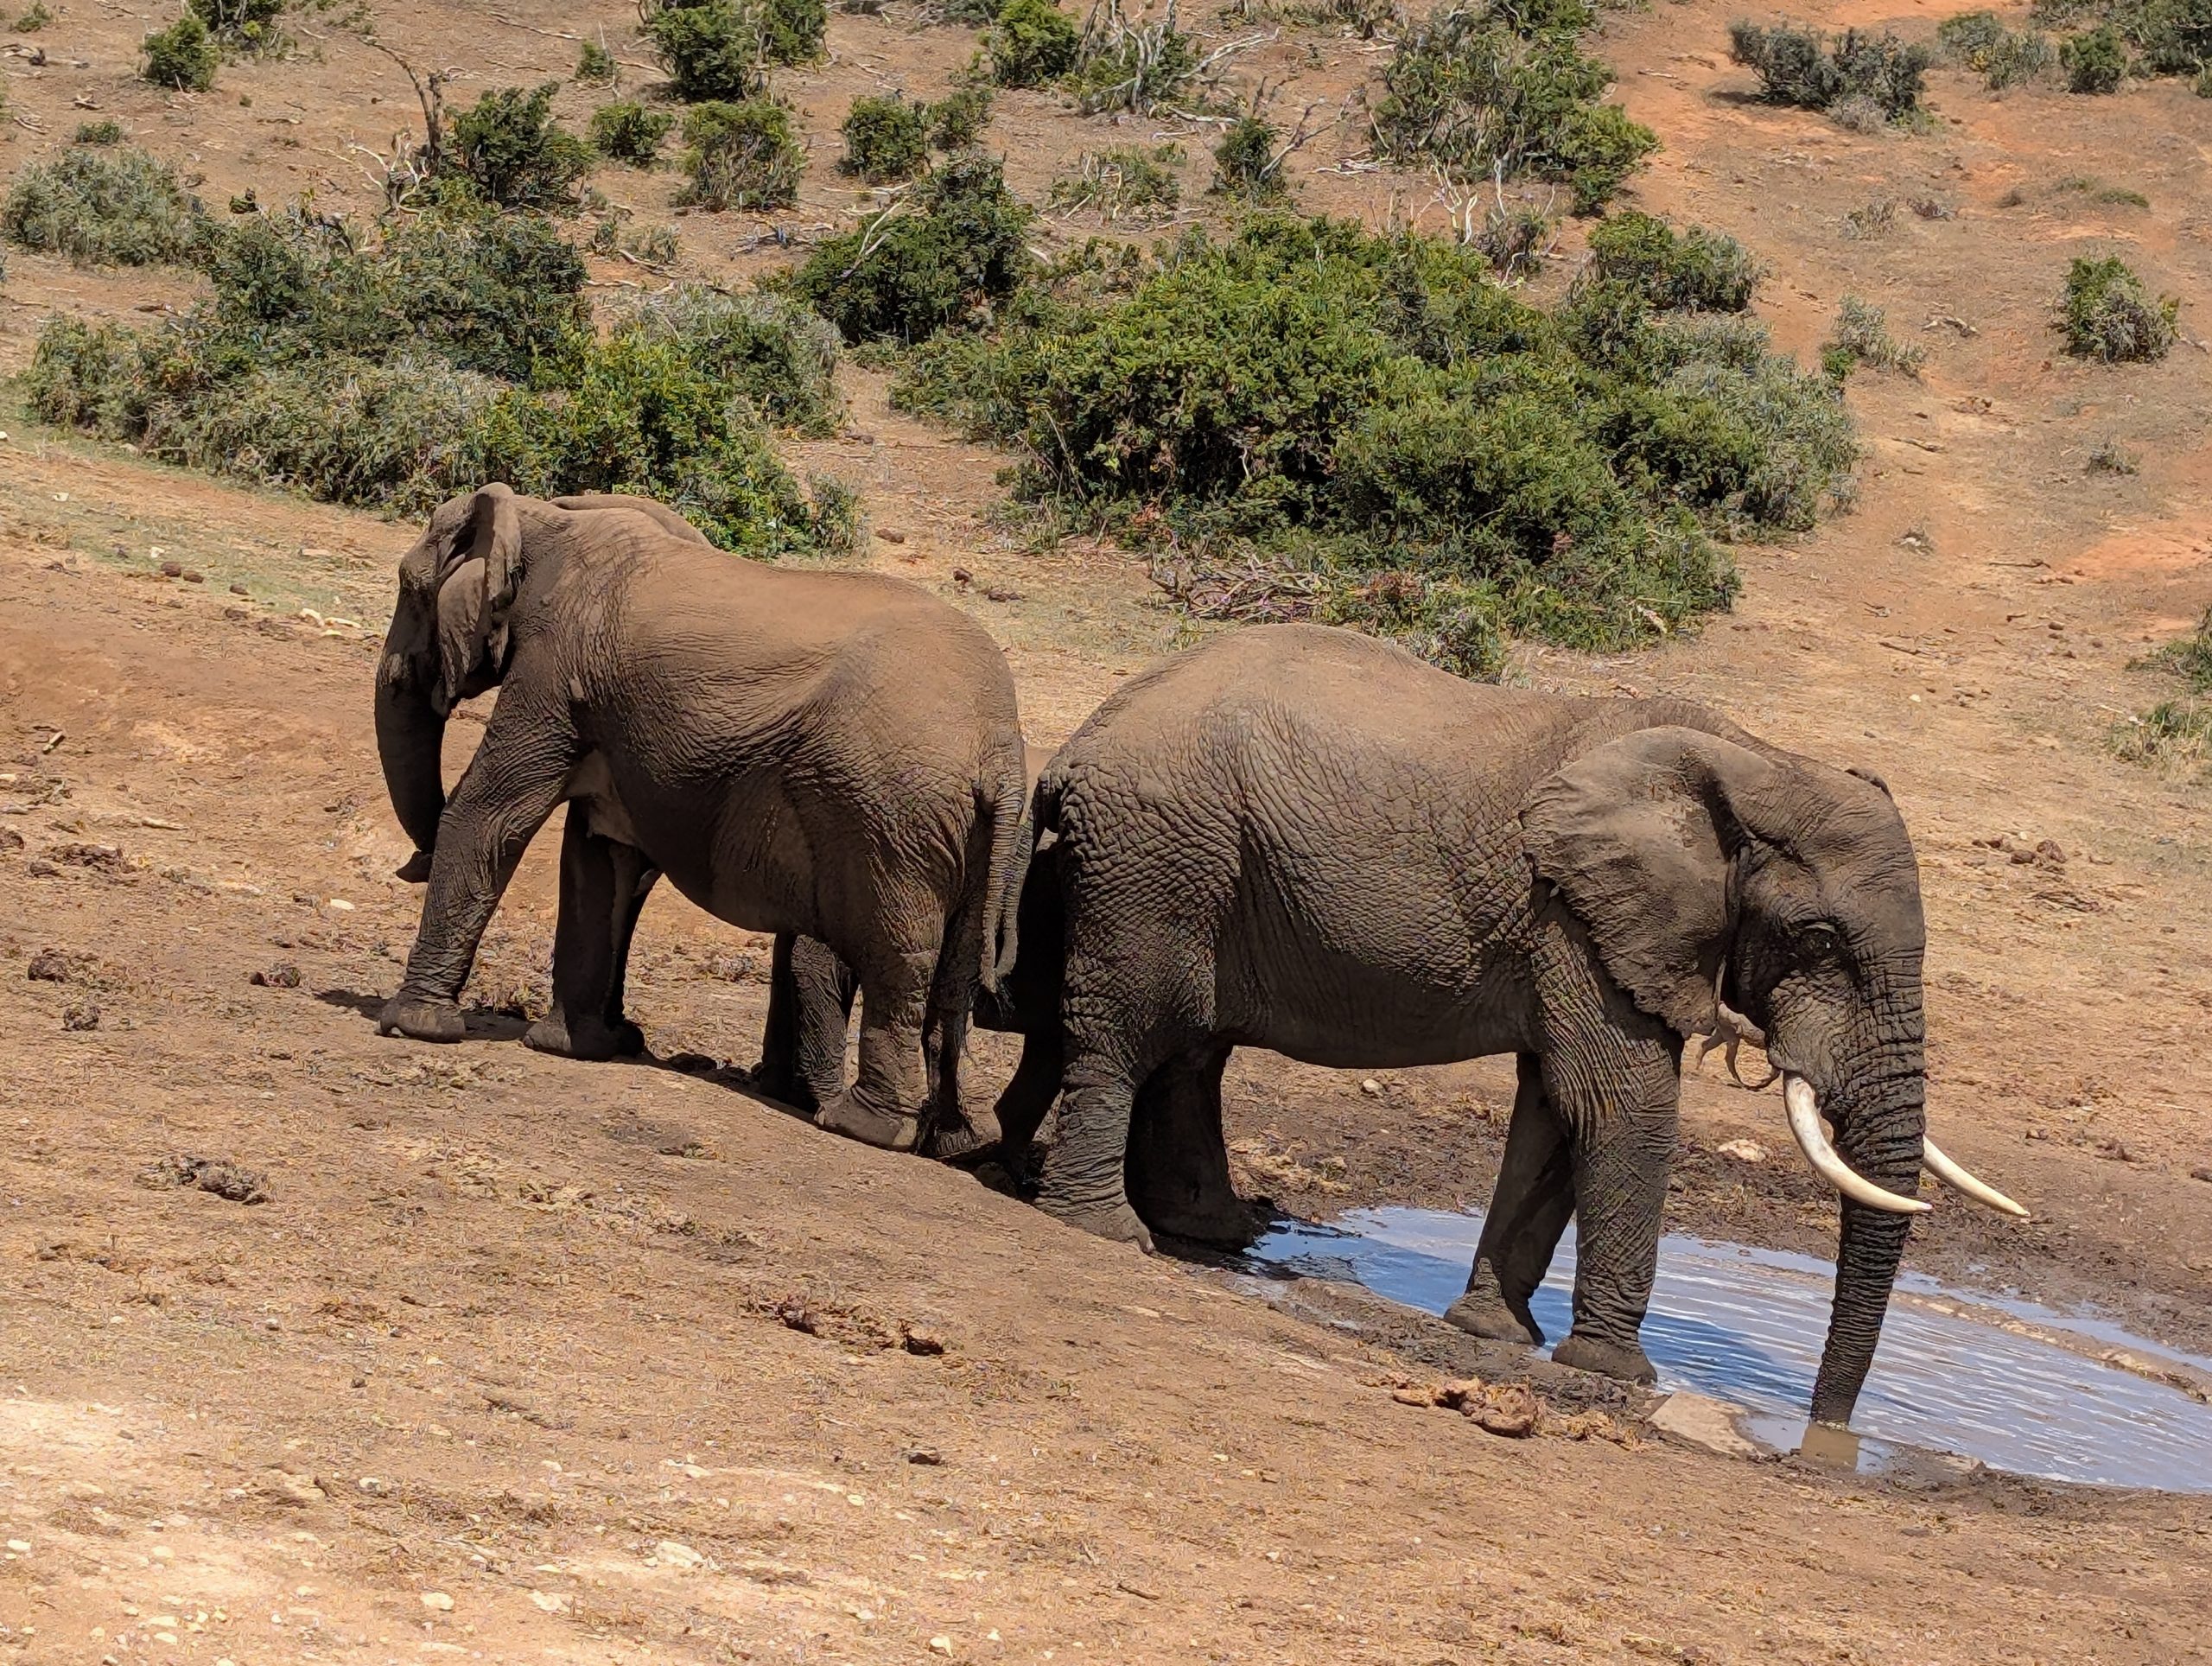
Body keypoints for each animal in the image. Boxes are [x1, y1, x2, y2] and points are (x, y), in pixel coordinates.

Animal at [371, 483, 1029, 1156]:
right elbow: (600, 856)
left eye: (410, 590)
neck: (545, 518)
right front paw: (582, 1046)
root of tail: (1000, 743)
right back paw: (955, 1142)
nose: (410, 863)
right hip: (974, 838)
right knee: (951, 981)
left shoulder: (551, 672)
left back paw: (861, 1126)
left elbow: (490, 816)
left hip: (893, 816)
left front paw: (411, 1025)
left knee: (899, 961)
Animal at [1002, 622, 2022, 1430]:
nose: (1826, 1433)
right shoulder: (1575, 917)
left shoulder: (1589, 934)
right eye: (1817, 940)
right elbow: (1620, 1107)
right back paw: (1110, 1231)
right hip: (1157, 860)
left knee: (1190, 1049)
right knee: (1126, 1033)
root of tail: (1081, 740)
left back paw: (1215, 1232)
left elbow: (1556, 1113)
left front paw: (1494, 1331)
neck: (1757, 762)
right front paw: (1614, 1370)